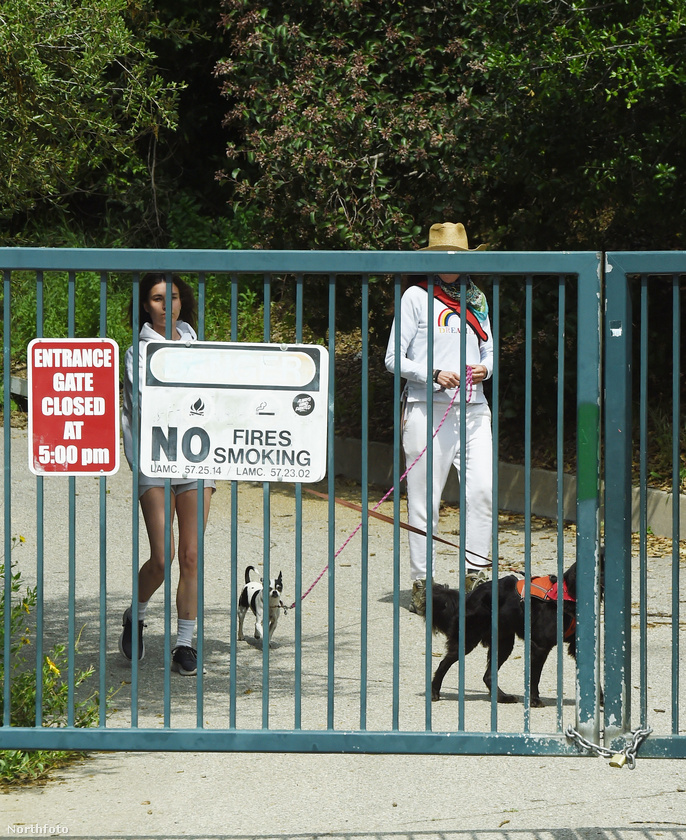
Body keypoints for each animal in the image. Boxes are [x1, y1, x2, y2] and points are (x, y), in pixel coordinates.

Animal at [436, 556, 600, 708]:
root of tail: (471, 595)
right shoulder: (540, 647)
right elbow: (534, 677)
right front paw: (534, 700)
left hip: (504, 643)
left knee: (488, 675)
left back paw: (502, 697)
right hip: (469, 639)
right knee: (444, 663)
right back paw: (434, 692)